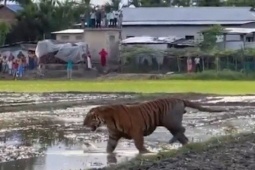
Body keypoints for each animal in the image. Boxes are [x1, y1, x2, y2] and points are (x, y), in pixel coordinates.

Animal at [83, 97, 225, 154]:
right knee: (183, 137)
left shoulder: (137, 131)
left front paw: (146, 153)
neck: (108, 119)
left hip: (170, 121)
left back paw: (170, 142)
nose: (83, 123)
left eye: (90, 116)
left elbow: (139, 145)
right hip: (171, 124)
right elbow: (109, 148)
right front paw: (106, 154)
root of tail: (179, 98)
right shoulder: (113, 136)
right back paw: (184, 145)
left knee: (182, 129)